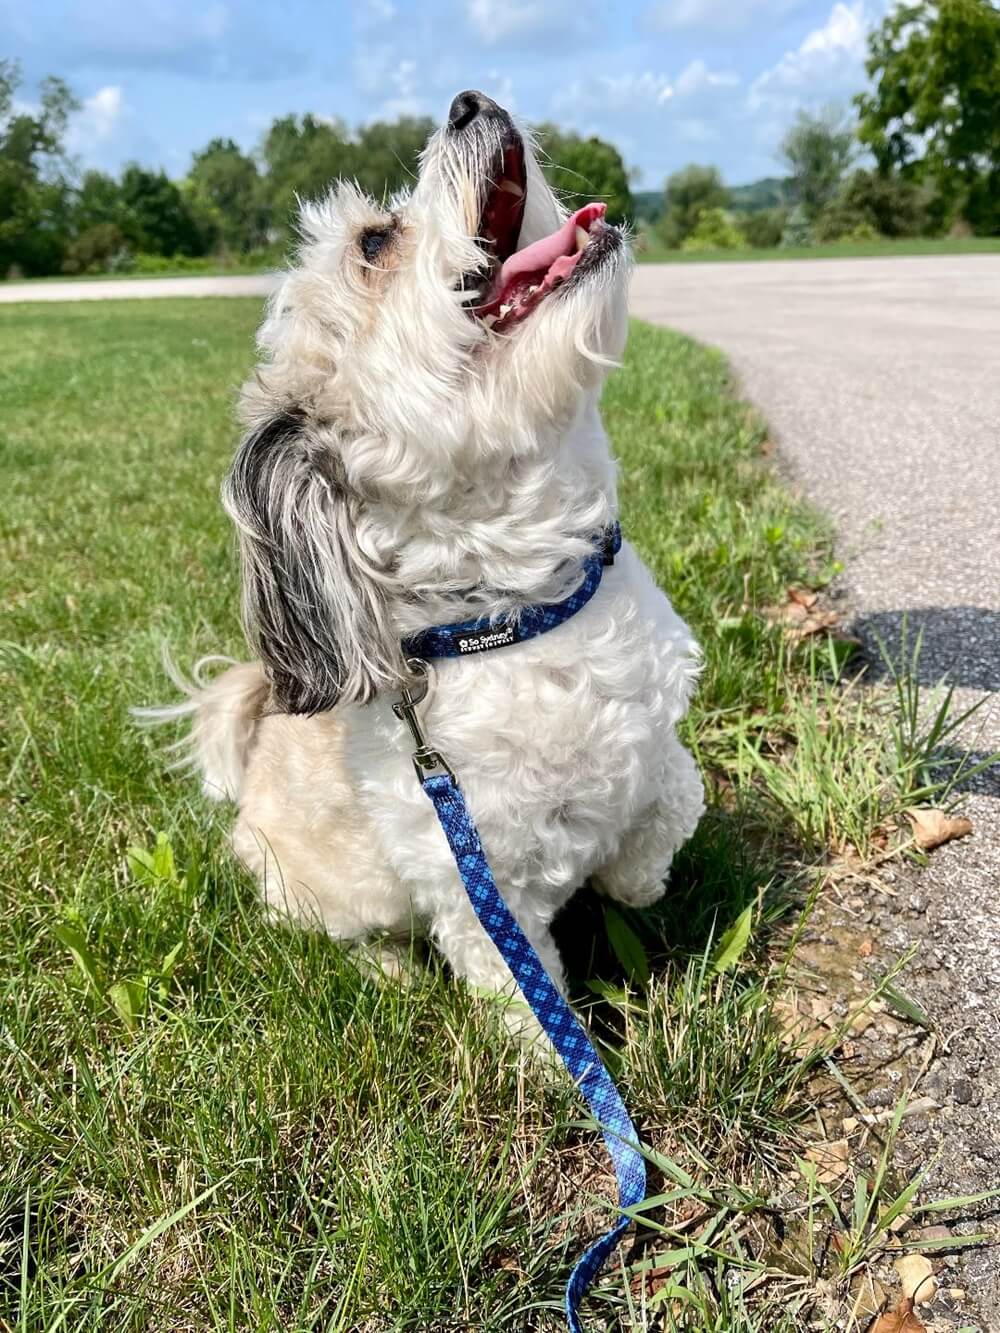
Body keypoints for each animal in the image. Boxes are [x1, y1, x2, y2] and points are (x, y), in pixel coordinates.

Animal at [152, 88, 709, 1045]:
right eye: (376, 242)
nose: (467, 101)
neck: (527, 609)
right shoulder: (479, 896)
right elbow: (527, 1000)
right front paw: (555, 1063)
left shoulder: (658, 746)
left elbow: (672, 798)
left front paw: (630, 877)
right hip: (318, 897)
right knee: (347, 937)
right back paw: (391, 976)